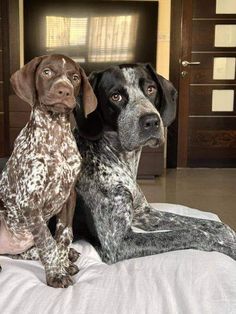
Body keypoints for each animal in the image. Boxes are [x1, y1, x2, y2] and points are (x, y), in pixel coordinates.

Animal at [0, 53, 97, 288]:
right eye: (46, 72)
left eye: (74, 78)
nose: (64, 90)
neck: (55, 134)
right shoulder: (29, 203)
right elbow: (47, 240)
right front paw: (56, 274)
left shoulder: (69, 196)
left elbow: (63, 235)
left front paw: (62, 263)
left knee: (21, 253)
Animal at [73, 63, 235, 262]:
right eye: (115, 96)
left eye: (151, 89)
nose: (151, 121)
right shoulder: (118, 243)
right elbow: (193, 233)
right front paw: (228, 246)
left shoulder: (145, 214)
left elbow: (209, 224)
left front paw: (228, 235)